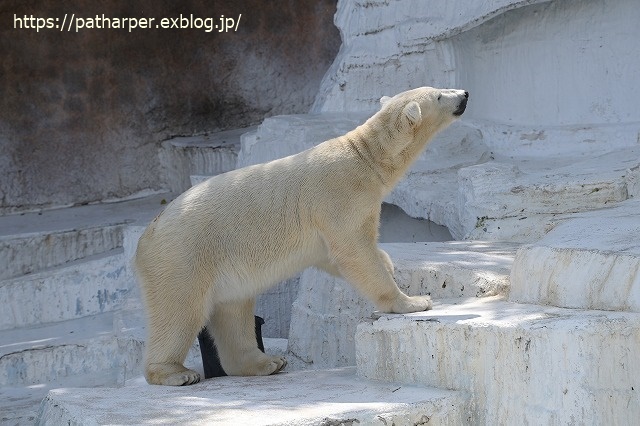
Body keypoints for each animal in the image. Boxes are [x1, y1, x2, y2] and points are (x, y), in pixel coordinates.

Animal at [135, 86, 468, 386]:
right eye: (439, 95)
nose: (464, 94)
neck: (364, 157)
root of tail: (146, 237)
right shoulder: (339, 195)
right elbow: (354, 253)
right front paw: (413, 301)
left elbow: (336, 256)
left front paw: (387, 262)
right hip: (184, 254)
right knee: (180, 310)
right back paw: (177, 373)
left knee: (234, 310)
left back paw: (267, 362)